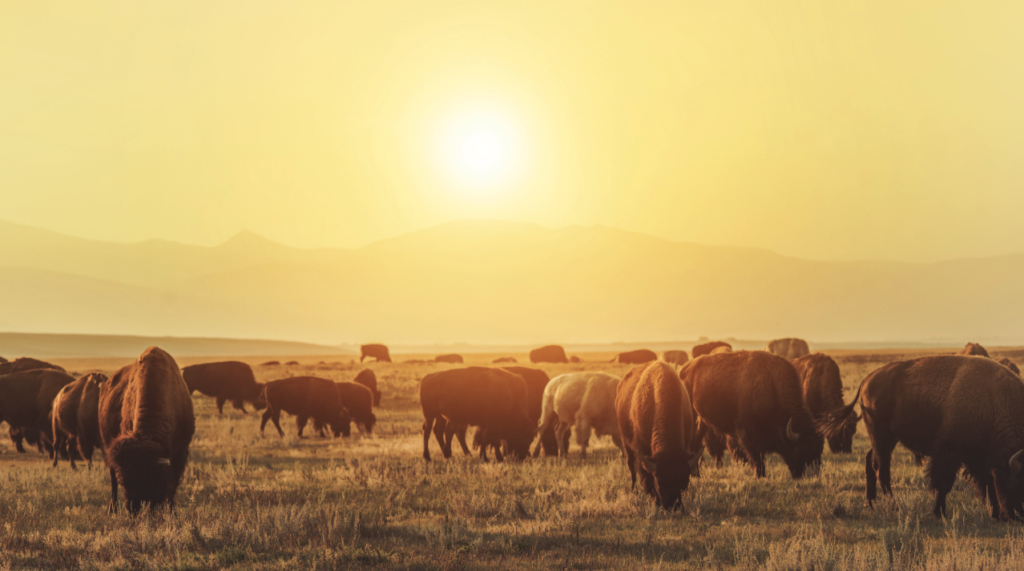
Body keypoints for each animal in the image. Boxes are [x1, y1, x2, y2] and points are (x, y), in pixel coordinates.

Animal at [99, 347, 195, 514]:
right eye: (125, 481)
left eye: (149, 477)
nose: (133, 509)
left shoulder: (180, 452)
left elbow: (172, 485)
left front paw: (172, 512)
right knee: (112, 482)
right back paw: (112, 510)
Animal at [616, 361, 702, 509]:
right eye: (659, 482)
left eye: (684, 483)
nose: (672, 505)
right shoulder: (642, 452)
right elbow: (646, 477)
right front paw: (655, 501)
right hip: (626, 444)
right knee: (631, 469)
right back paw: (633, 491)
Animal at [682, 351, 822, 479]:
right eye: (800, 448)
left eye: (819, 449)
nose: (812, 474)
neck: (772, 387)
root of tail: (686, 367)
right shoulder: (747, 435)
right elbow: (756, 457)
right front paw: (760, 475)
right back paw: (695, 473)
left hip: (702, 421)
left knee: (696, 443)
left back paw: (696, 474)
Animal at [821, 355, 1024, 520]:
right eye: (1020, 478)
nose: (1018, 515)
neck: (995, 403)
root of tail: (867, 380)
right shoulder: (949, 453)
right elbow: (944, 484)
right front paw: (939, 513)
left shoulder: (980, 457)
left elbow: (988, 484)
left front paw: (995, 514)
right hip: (880, 434)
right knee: (881, 469)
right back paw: (895, 508)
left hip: (887, 438)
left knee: (871, 460)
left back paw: (871, 504)